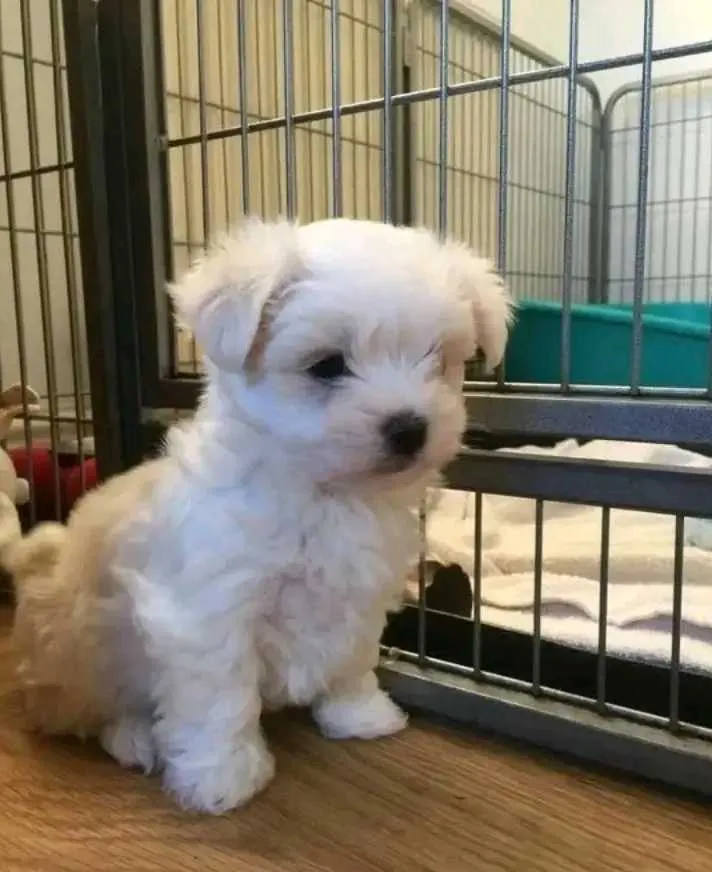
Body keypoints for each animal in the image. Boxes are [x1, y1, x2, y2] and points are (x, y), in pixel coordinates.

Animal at [5, 218, 512, 813]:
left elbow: (353, 658)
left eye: (439, 359)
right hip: (78, 650)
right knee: (92, 712)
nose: (410, 427)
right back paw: (136, 738)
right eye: (327, 366)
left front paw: (358, 715)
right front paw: (221, 780)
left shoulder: (360, 597)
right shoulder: (209, 612)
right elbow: (219, 699)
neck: (324, 493)